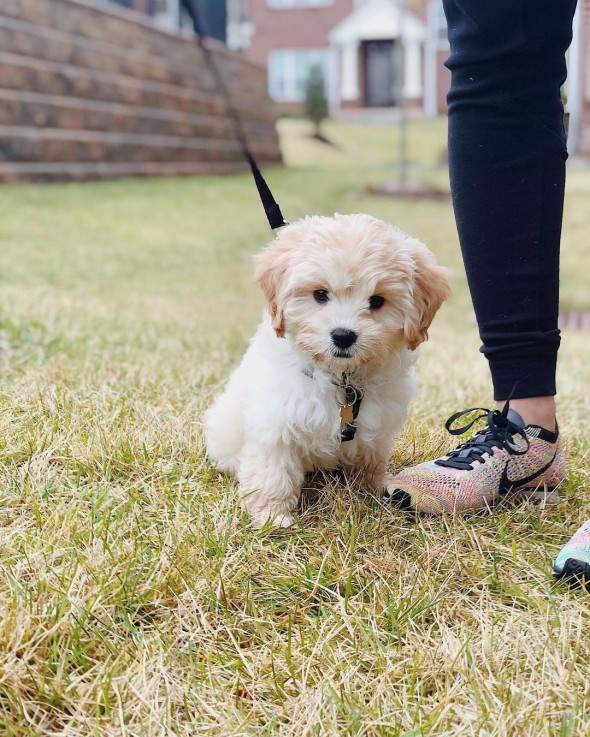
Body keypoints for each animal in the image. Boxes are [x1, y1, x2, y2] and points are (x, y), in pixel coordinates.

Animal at [206, 210, 450, 528]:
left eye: (377, 300)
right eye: (320, 294)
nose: (344, 336)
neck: (341, 378)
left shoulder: (376, 422)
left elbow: (371, 457)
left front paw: (374, 487)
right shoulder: (275, 421)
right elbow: (272, 472)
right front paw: (273, 516)